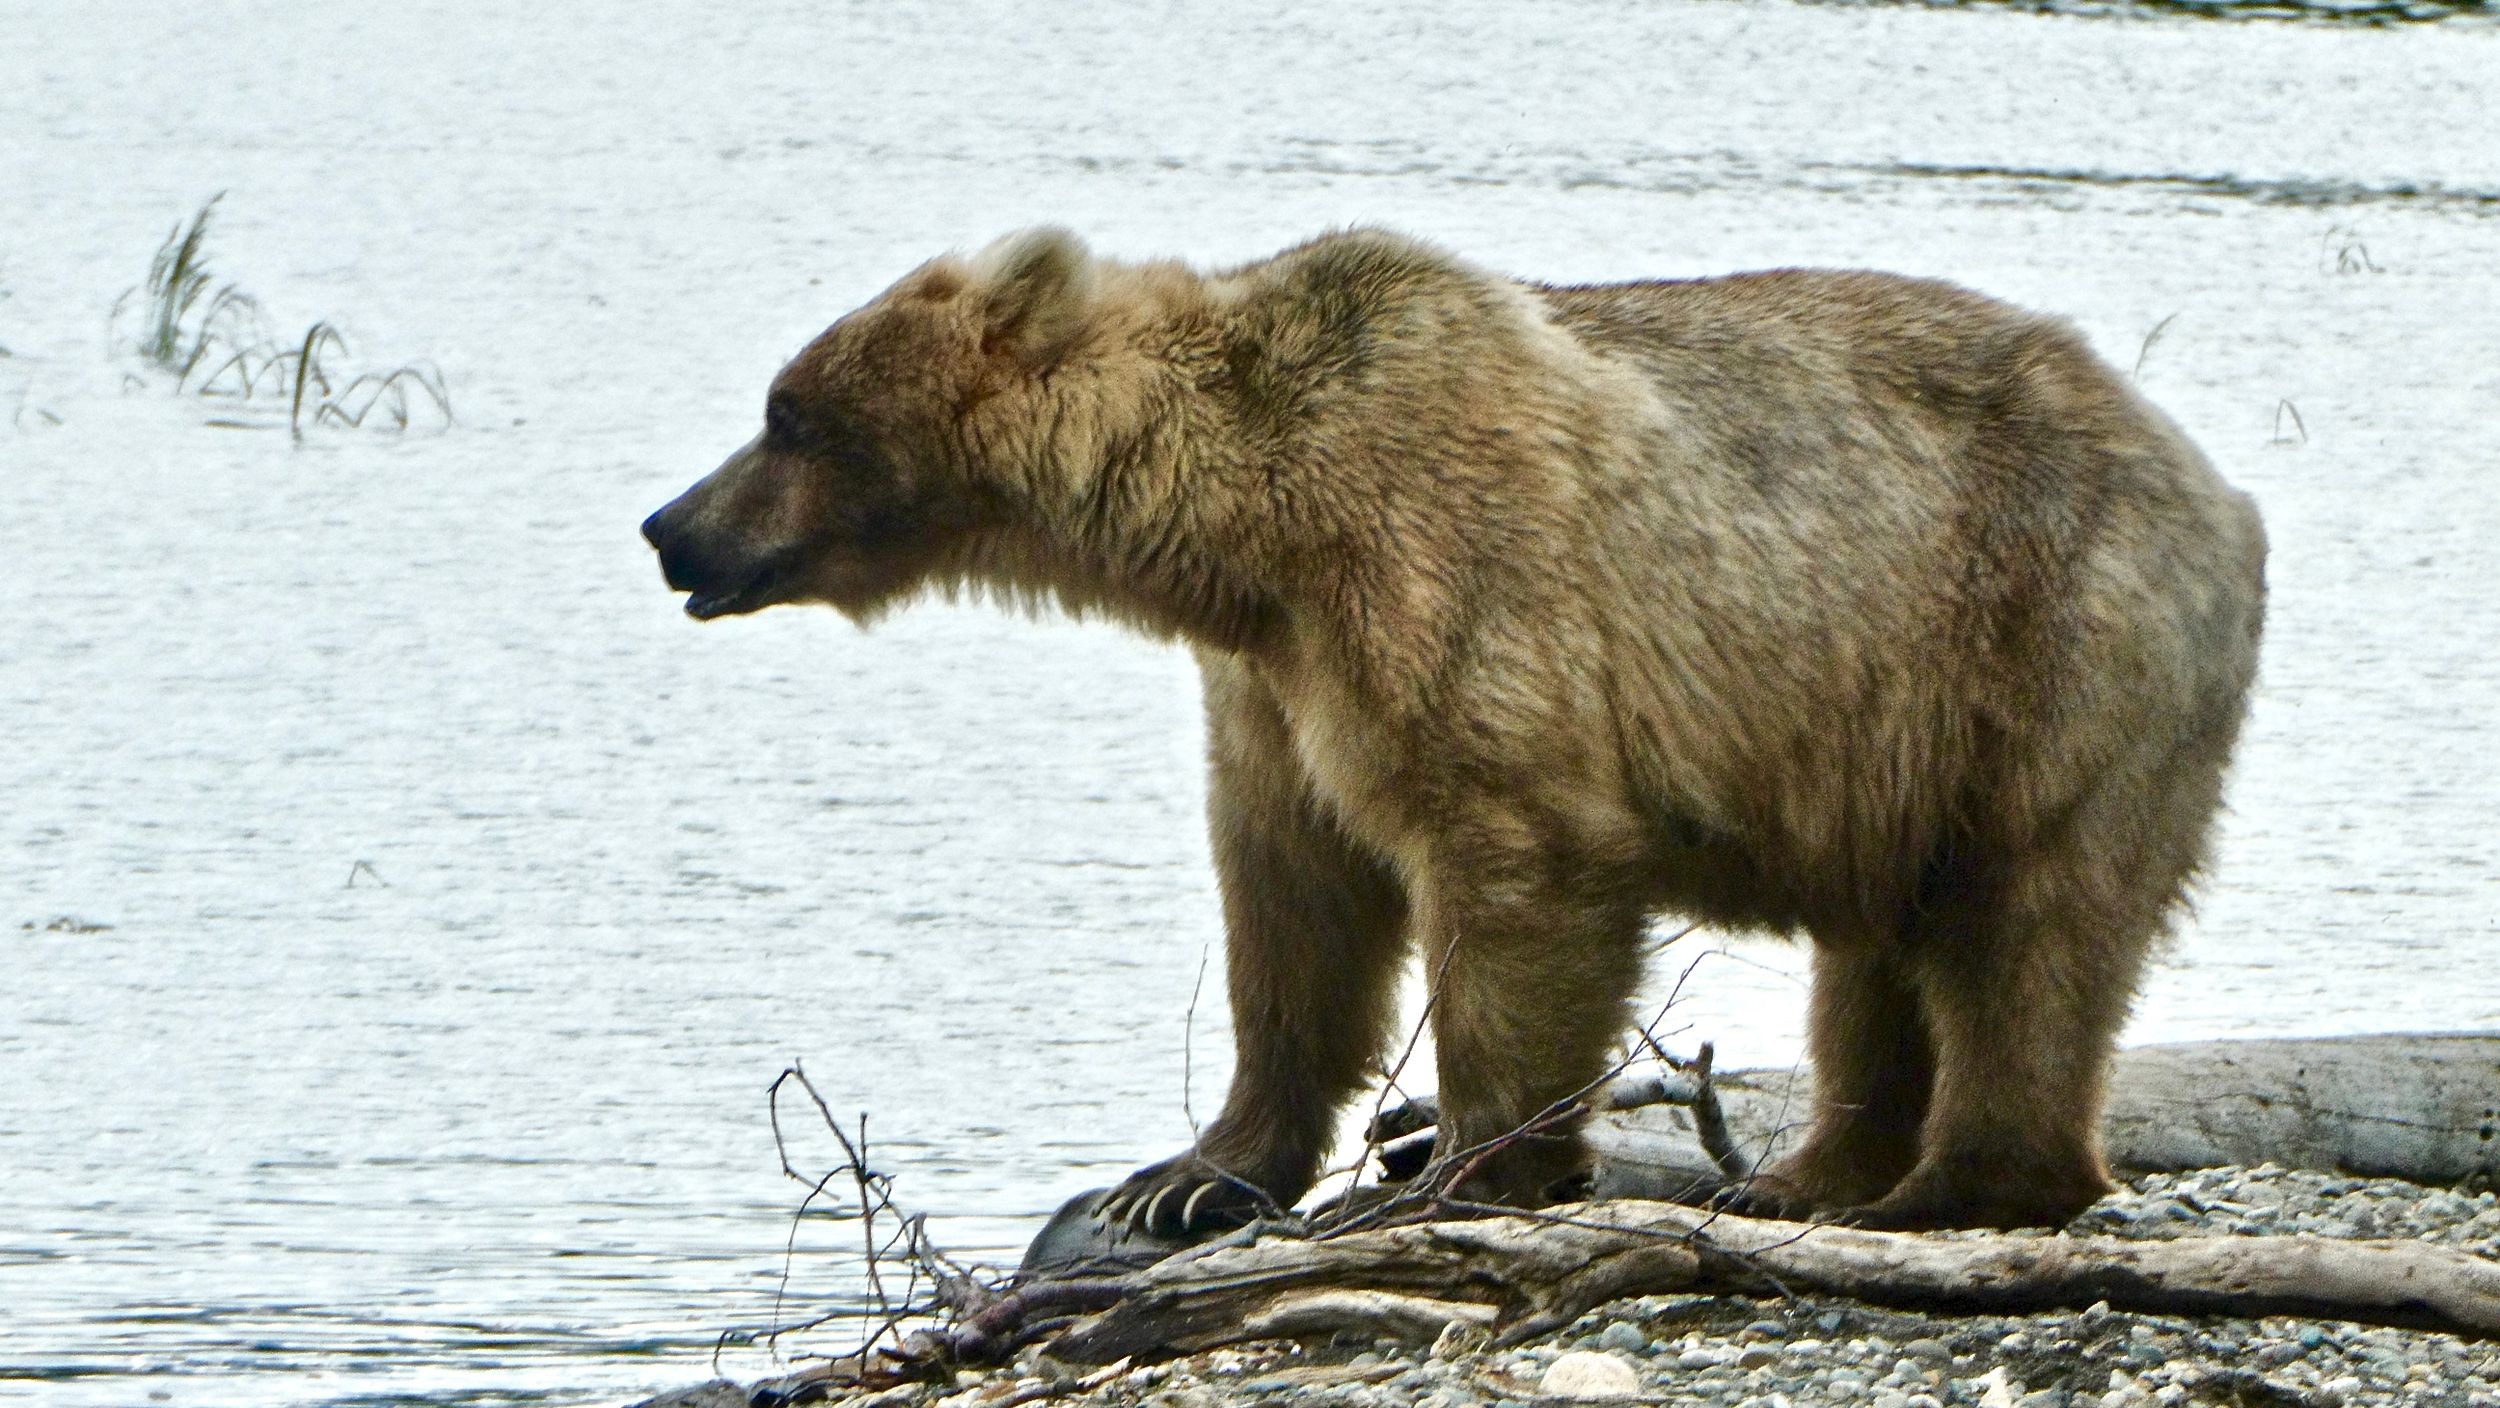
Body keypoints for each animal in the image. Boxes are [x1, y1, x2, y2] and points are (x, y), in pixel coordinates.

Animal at [640, 228, 2270, 1235]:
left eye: (785, 411)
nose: (670, 530)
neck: (1246, 526)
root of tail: (2218, 482)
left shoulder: (1443, 571)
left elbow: (1514, 859)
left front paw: (1457, 1168)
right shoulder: (1275, 685)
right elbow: (1292, 907)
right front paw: (1185, 1175)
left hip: (2053, 637)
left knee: (2030, 923)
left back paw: (1965, 1180)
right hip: (1889, 728)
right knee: (1878, 947)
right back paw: (1807, 1175)